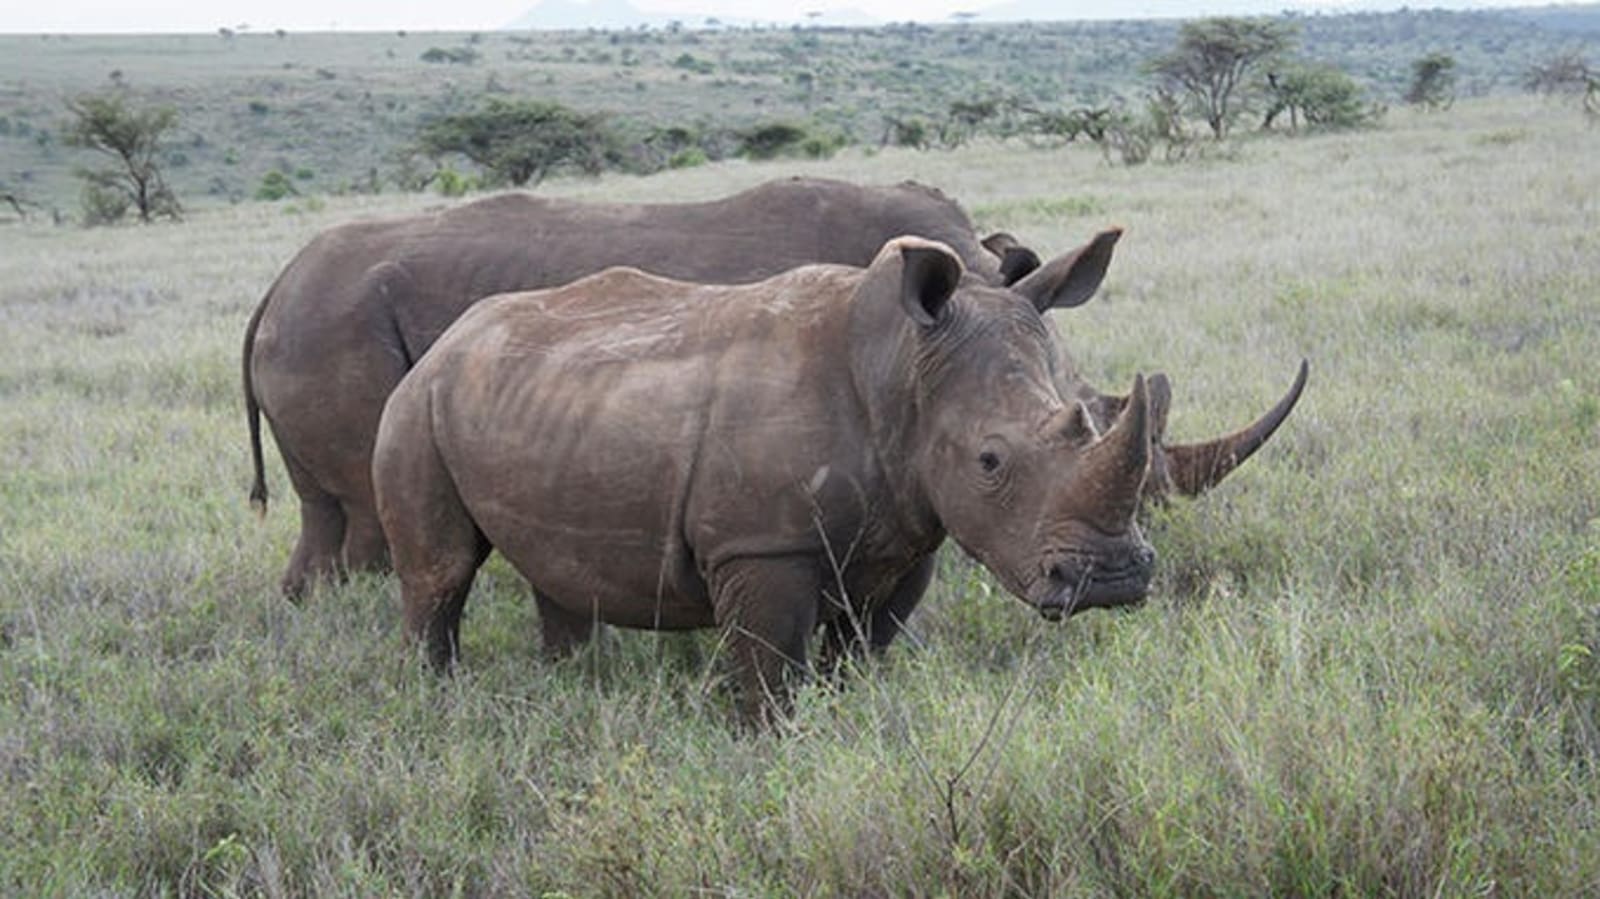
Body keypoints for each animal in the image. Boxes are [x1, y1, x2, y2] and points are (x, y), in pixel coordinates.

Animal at [373, 236, 1161, 721]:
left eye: (1086, 423)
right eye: (990, 461)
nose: (1115, 579)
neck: (901, 366)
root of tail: (449, 339)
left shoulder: (907, 531)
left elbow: (861, 651)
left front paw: (844, 718)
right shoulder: (759, 545)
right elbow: (773, 665)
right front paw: (776, 746)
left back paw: (569, 681)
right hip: (416, 406)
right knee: (440, 573)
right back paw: (431, 697)